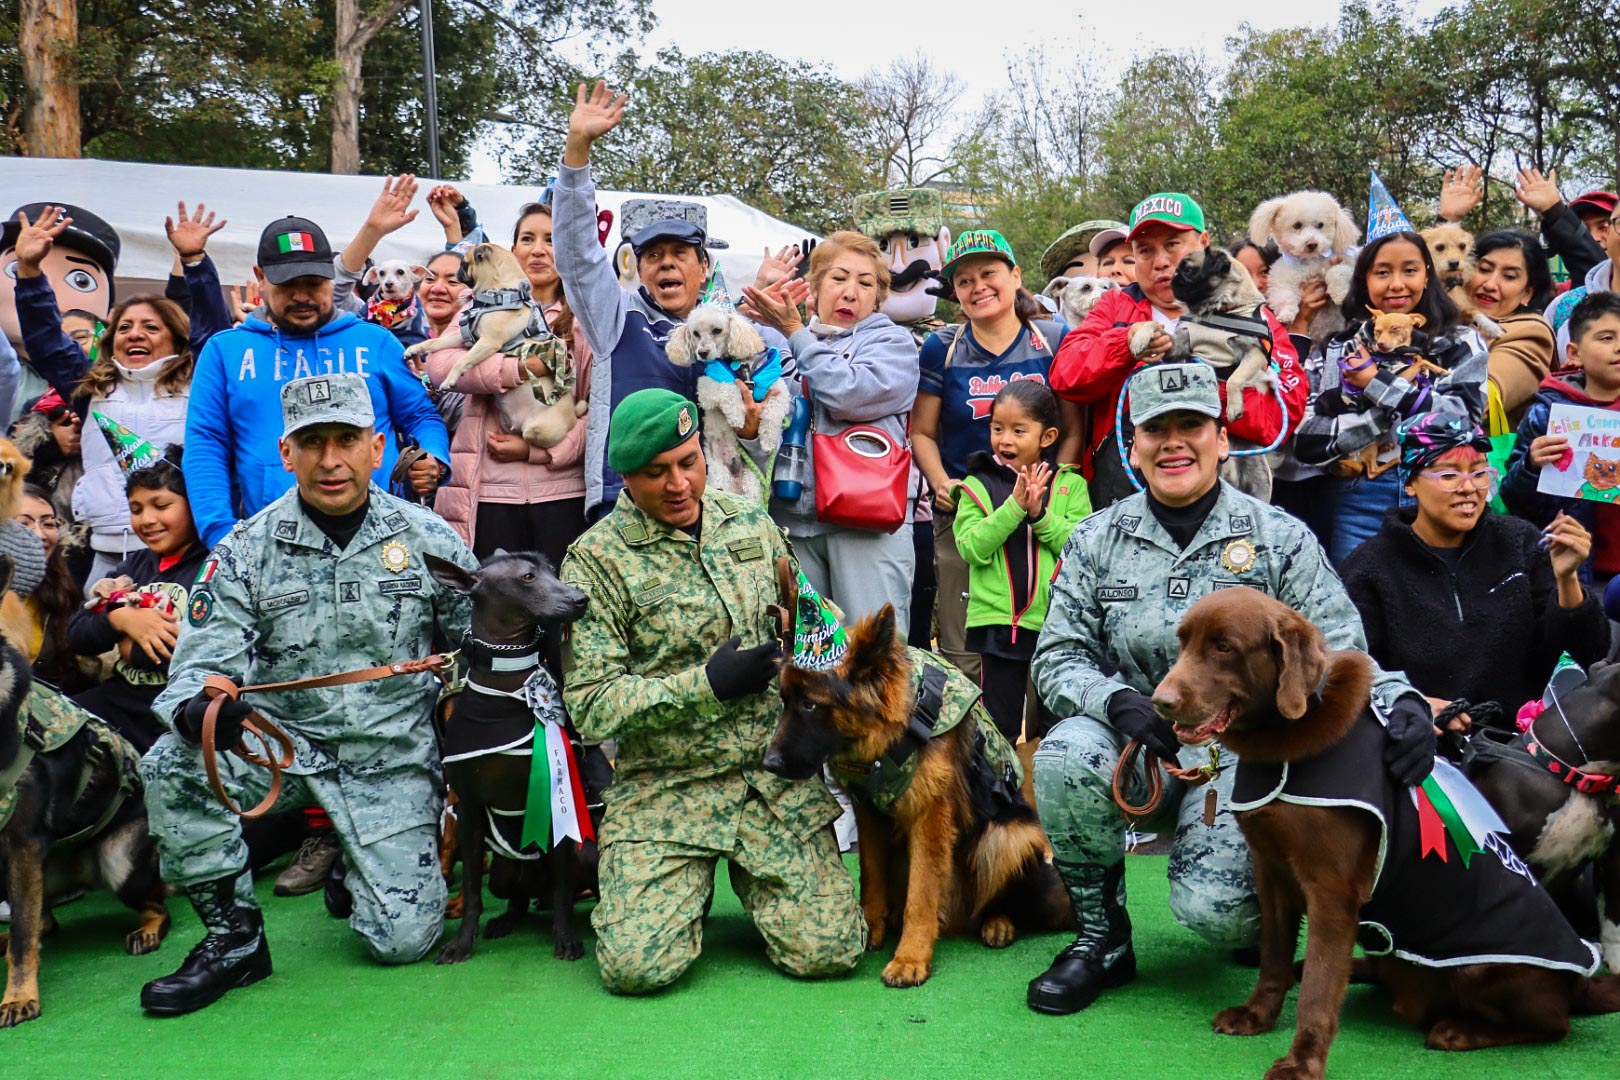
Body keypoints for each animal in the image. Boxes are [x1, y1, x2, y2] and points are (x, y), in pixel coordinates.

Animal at [0, 641, 167, 1029]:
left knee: (158, 903)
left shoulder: (22, 842)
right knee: (42, 921)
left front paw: (19, 997)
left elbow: (22, 938)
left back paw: (148, 931)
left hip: (117, 860)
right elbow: (23, 929)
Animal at [664, 304, 790, 501]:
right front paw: (737, 416)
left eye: (717, 330)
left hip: (752, 482)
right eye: (695, 333)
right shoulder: (707, 386)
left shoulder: (778, 388)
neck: (735, 364)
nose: (702, 353)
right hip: (719, 478)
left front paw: (768, 440)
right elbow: (728, 388)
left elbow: (774, 411)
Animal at [761, 605, 1069, 990]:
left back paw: (997, 922)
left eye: (810, 705)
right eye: (784, 700)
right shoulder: (869, 813)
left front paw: (909, 958)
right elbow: (871, 875)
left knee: (1004, 898)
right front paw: (871, 928)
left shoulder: (930, 816)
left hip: (1010, 836)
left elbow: (921, 895)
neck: (897, 728)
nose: (768, 763)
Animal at [1153, 592, 1620, 1080]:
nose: (1160, 701)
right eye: (1183, 642)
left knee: (1555, 1022)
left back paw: (1459, 1030)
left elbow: (1319, 989)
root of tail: (1579, 982)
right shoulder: (1272, 871)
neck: (1285, 741)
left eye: (1225, 647)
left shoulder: (1332, 889)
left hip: (1485, 971)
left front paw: (1302, 1062)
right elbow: (1273, 960)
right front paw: (1256, 1016)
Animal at [1244, 191, 1360, 338]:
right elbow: (1285, 295)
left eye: (1320, 225)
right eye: (1297, 225)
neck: (1309, 261)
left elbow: (1336, 271)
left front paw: (1339, 294)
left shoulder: (1349, 264)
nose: (1312, 244)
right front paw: (1286, 314)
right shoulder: (1281, 280)